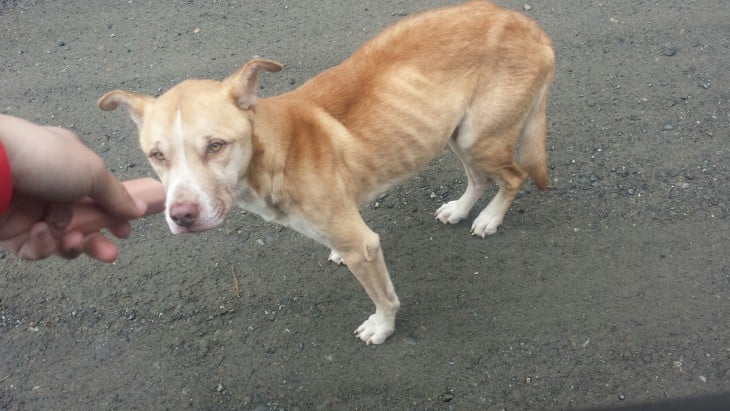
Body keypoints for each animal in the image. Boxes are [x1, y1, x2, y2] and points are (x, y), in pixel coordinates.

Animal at [96, 1, 552, 346]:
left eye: (216, 146)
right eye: (157, 155)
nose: (182, 216)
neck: (276, 153)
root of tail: (528, 25)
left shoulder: (363, 246)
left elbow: (384, 297)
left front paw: (382, 327)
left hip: (479, 137)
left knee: (513, 177)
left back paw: (490, 219)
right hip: (457, 133)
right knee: (479, 178)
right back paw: (460, 209)